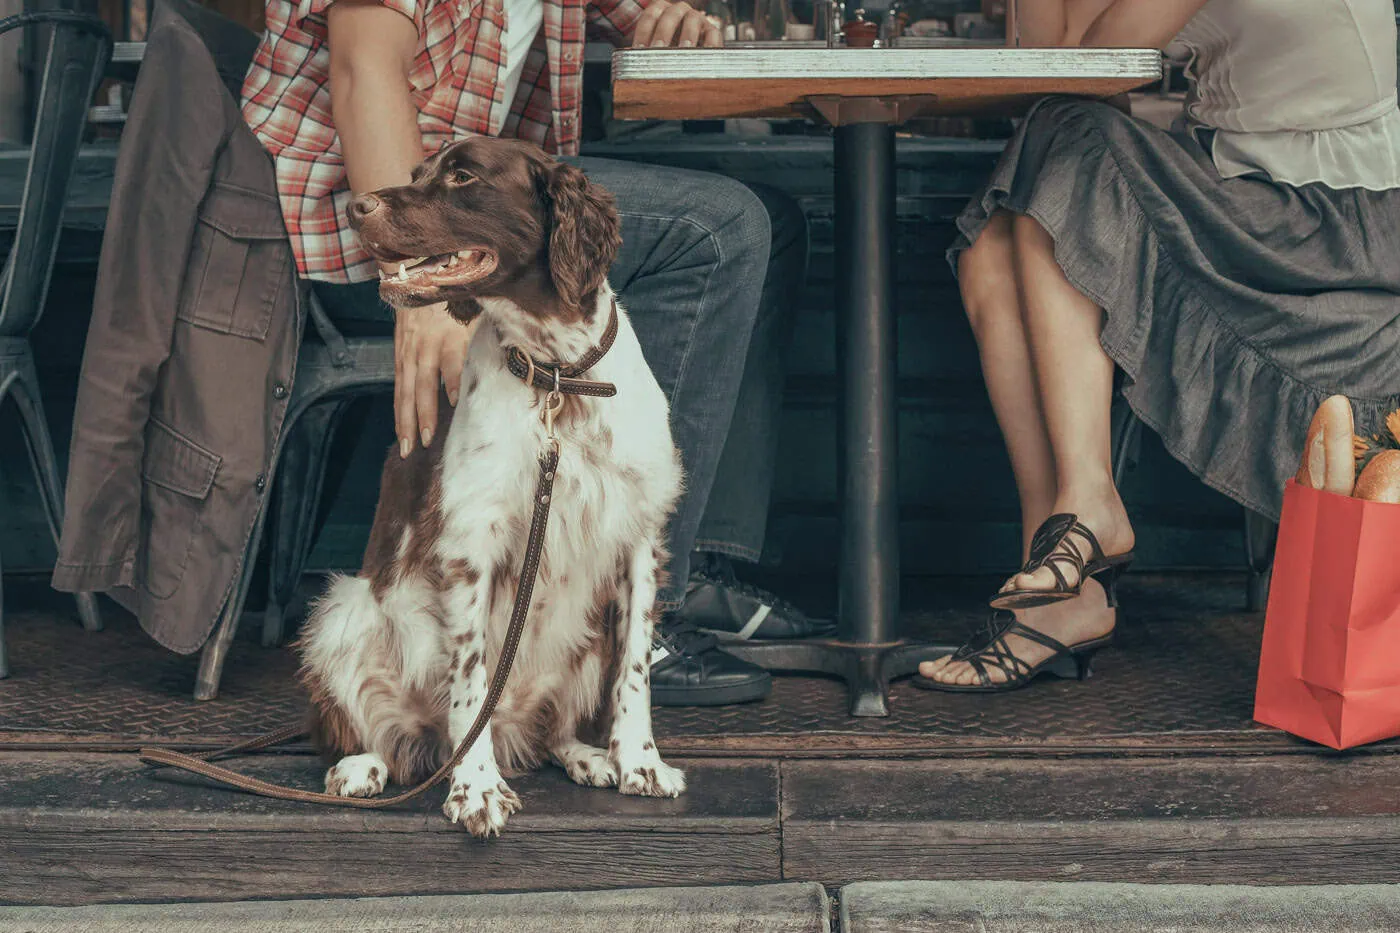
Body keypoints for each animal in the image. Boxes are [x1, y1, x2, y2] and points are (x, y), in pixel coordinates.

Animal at [298, 132, 686, 834]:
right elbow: (473, 679)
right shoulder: (471, 545)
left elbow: (636, 670)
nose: (356, 207)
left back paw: (587, 755)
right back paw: (362, 768)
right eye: (417, 172)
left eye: (462, 176)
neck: (559, 376)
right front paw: (476, 787)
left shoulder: (641, 538)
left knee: (548, 731)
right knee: (381, 735)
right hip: (344, 611)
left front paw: (640, 762)